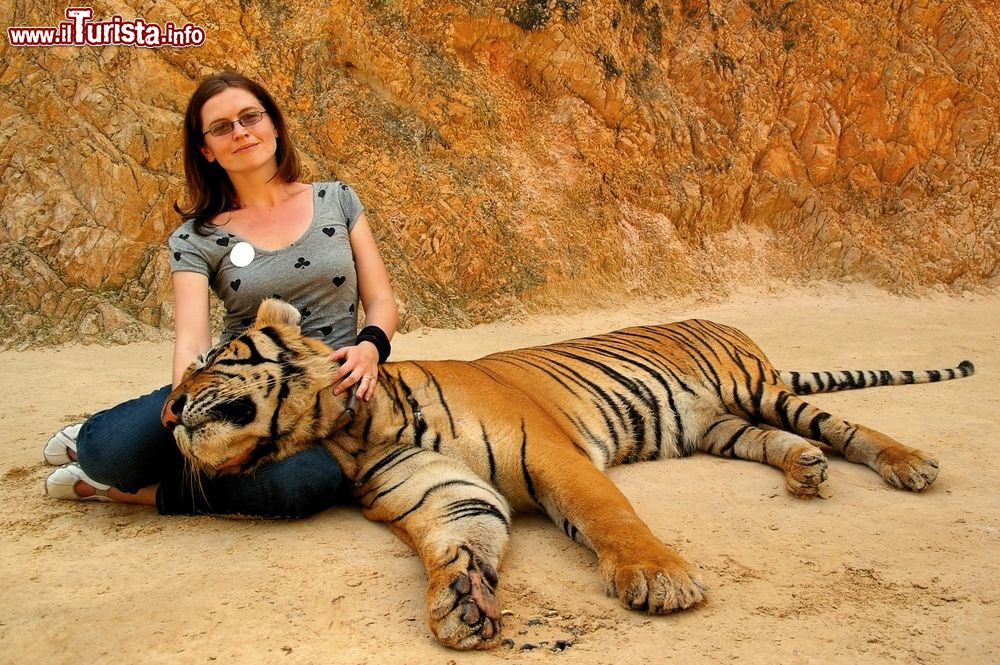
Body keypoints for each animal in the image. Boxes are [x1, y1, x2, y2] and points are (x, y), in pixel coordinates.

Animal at [162, 300, 976, 648]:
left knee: (842, 426)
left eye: (210, 358)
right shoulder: (448, 494)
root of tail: (729, 324)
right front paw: (460, 600)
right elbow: (458, 544)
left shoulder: (553, 454)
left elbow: (607, 514)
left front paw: (660, 579)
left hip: (755, 388)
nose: (167, 411)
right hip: (719, 424)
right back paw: (804, 469)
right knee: (777, 441)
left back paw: (909, 464)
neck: (355, 430)